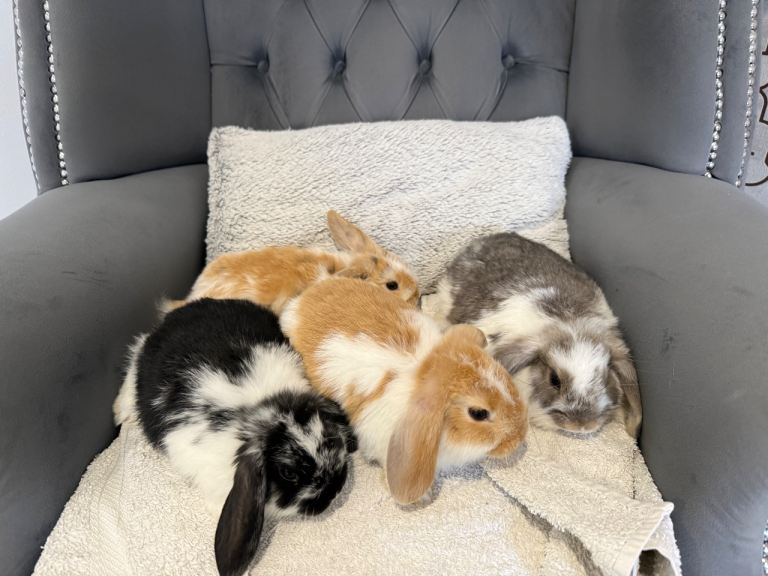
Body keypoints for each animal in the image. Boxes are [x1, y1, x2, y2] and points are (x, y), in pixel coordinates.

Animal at [114, 298, 357, 576]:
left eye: (331, 438)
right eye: (288, 473)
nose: (335, 490)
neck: (255, 411)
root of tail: (173, 317)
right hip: (141, 363)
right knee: (134, 357)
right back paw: (122, 412)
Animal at [280, 277, 528, 505]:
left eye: (501, 371)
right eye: (478, 413)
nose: (519, 437)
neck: (423, 369)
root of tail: (299, 303)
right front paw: (425, 497)